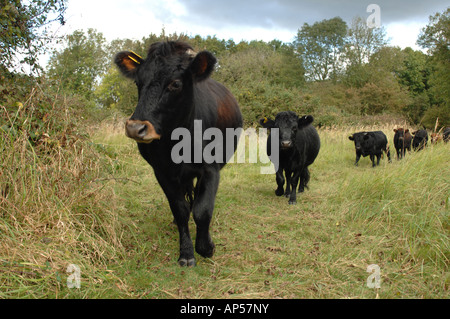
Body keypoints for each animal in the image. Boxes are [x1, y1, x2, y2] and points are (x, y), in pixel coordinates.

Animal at [115, 42, 243, 268]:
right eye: (138, 82)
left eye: (175, 84)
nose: (135, 128)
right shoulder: (162, 172)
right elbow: (179, 209)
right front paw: (187, 252)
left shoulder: (210, 169)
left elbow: (202, 209)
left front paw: (206, 247)